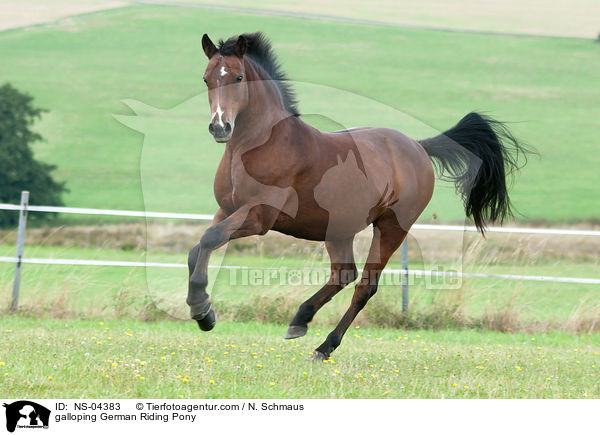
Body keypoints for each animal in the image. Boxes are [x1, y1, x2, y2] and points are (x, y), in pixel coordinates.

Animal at [189, 31, 528, 362]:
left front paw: (201, 309)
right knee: (344, 273)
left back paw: (324, 346)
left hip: (391, 228)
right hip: (339, 229)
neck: (259, 145)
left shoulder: (259, 216)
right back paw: (300, 320)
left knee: (365, 285)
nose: (220, 127)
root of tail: (419, 147)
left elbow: (208, 239)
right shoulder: (227, 210)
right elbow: (199, 246)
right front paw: (204, 314)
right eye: (206, 79)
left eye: (238, 77)